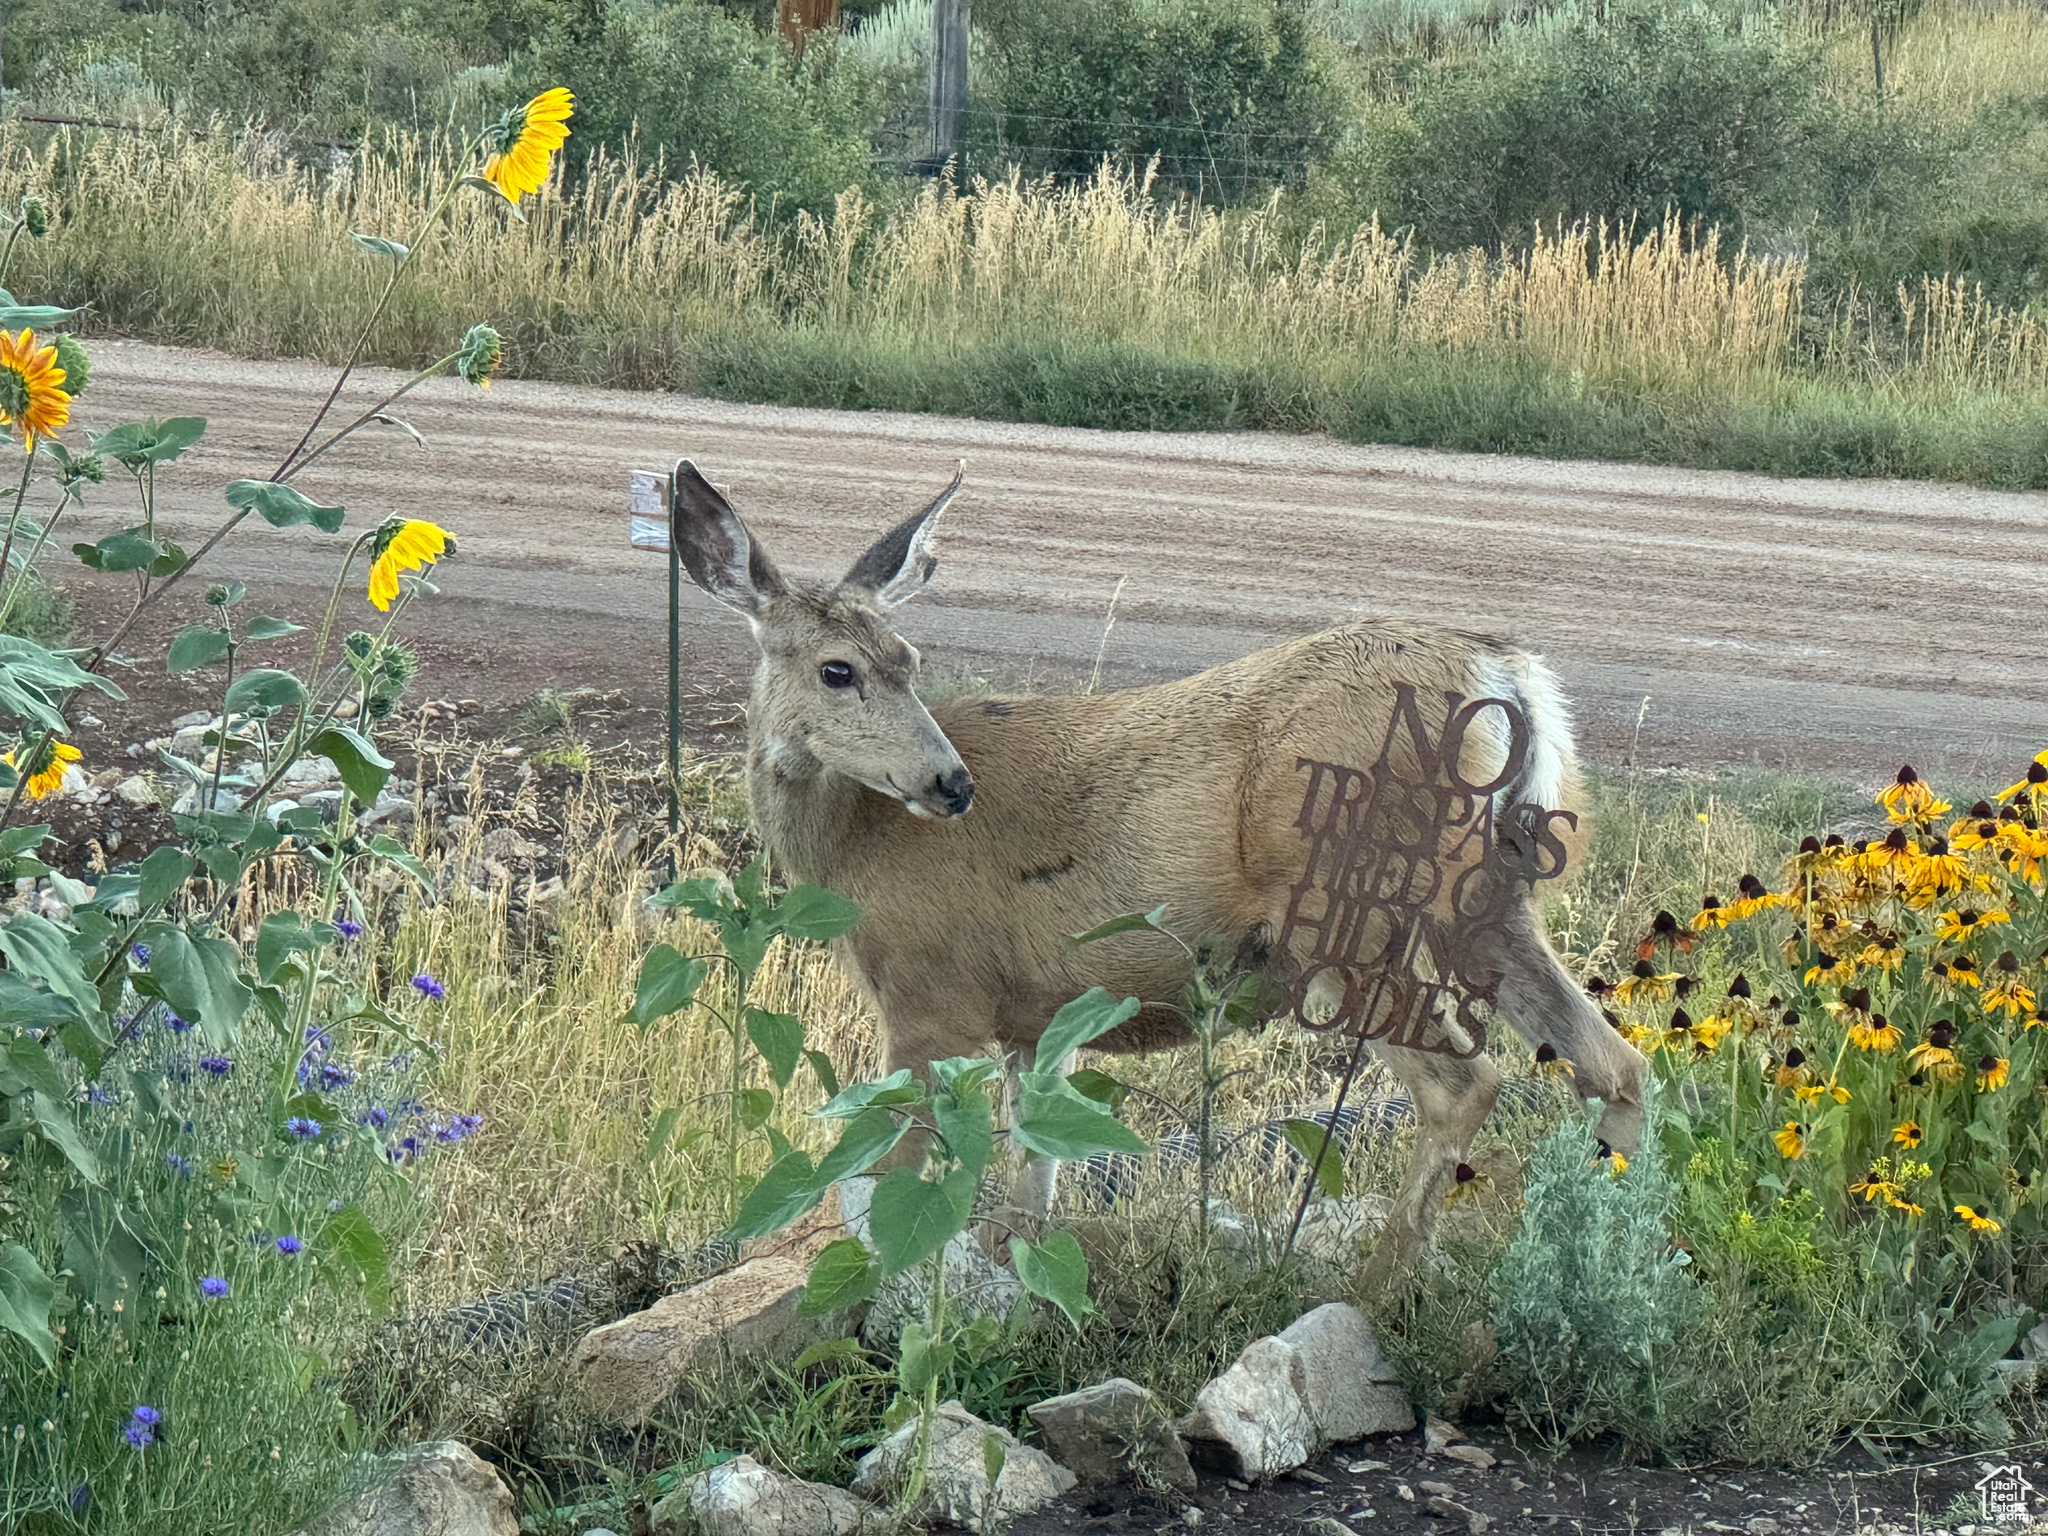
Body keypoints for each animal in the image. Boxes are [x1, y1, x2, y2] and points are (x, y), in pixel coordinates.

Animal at [671, 460, 1646, 1277]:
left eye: (907, 661)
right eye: (840, 670)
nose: (950, 783)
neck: (855, 846)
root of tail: (1506, 676)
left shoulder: (929, 996)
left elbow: (894, 1186)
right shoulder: (1036, 1024)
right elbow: (1029, 1191)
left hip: (1350, 910)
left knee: (1465, 1084)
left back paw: (1379, 1279)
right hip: (1493, 901)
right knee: (1613, 1061)